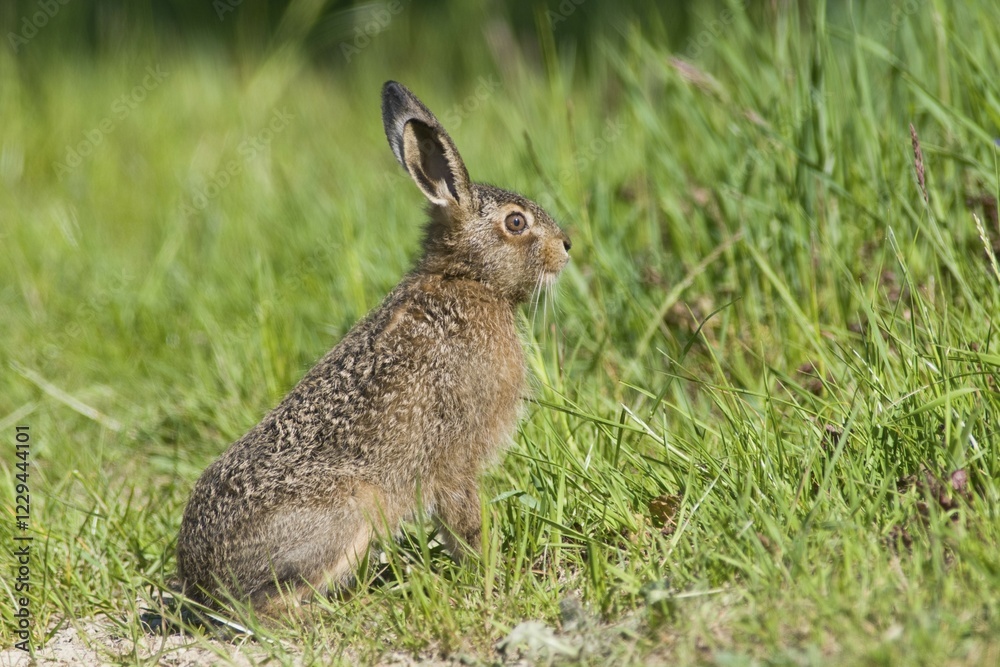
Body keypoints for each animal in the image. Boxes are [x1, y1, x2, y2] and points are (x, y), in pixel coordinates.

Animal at [175, 80, 571, 617]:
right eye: (515, 223)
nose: (566, 245)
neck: (467, 279)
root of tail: (200, 580)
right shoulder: (456, 458)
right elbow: (463, 518)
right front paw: (492, 573)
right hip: (347, 515)